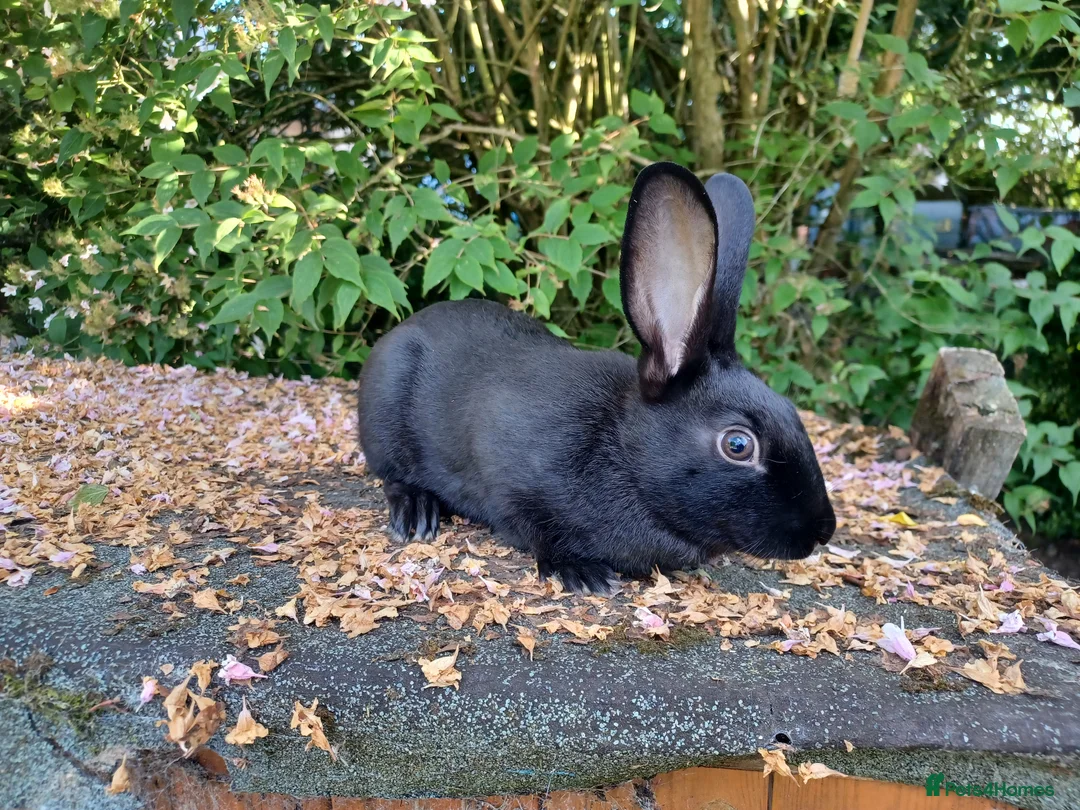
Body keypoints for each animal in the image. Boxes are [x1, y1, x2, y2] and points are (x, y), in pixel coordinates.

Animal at [357, 162, 836, 593]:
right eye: (738, 445)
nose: (822, 531)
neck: (622, 450)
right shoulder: (510, 479)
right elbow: (533, 529)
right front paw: (583, 572)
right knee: (391, 474)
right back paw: (415, 513)